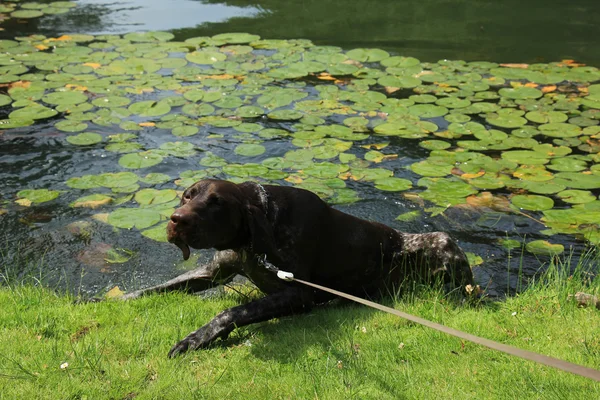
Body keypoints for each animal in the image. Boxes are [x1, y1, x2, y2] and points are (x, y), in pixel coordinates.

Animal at [124, 178, 476, 356]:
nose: (177, 220)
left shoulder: (300, 295)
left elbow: (232, 312)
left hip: (443, 243)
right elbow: (162, 287)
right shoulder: (214, 272)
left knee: (469, 283)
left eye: (216, 203)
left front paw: (198, 338)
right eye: (187, 196)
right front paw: (126, 298)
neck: (253, 238)